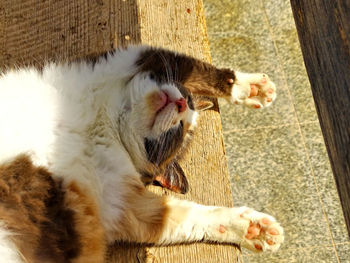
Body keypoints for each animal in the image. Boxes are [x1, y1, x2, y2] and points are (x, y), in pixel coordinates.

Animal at [0, 46, 284, 263]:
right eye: (188, 106)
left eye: (177, 132)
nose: (182, 103)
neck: (105, 122)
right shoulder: (124, 60)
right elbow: (199, 69)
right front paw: (251, 87)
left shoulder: (121, 203)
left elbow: (190, 215)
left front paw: (252, 229)